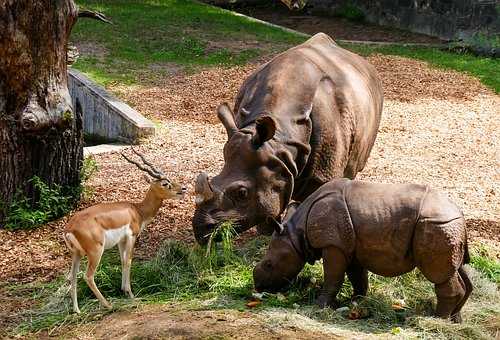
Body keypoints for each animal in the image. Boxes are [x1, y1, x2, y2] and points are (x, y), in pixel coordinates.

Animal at [63, 149, 186, 314]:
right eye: (165, 184)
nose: (183, 189)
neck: (137, 210)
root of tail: (69, 228)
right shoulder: (132, 236)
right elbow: (129, 261)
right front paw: (130, 293)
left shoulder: (121, 241)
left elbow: (122, 261)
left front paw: (123, 290)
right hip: (96, 251)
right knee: (87, 276)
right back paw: (108, 305)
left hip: (76, 254)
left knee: (72, 276)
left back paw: (77, 310)